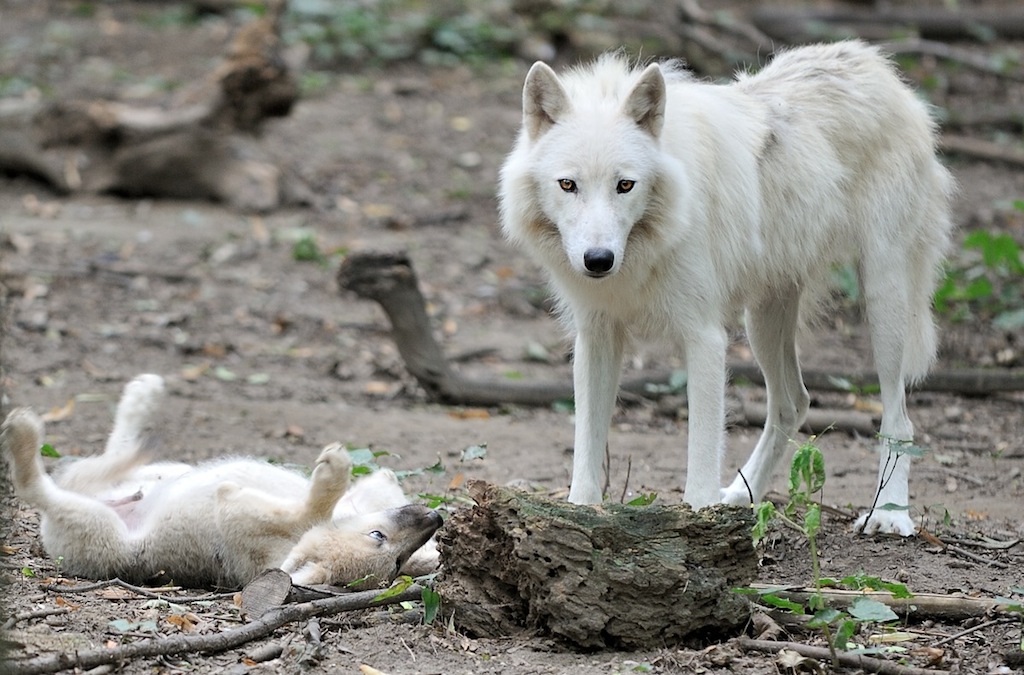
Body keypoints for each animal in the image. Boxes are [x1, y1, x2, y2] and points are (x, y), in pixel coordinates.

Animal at [1, 374, 442, 589]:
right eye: (378, 537)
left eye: (395, 565)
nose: (435, 518)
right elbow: (351, 493)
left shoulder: (238, 515)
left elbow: (306, 509)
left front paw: (333, 473)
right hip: (127, 480)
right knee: (107, 455)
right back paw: (142, 396)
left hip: (96, 526)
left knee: (34, 485)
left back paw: (23, 431)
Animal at [499, 41, 954, 536]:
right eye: (568, 184)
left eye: (625, 185)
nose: (598, 260)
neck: (648, 246)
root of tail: (878, 65)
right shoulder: (596, 336)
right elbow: (586, 446)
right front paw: (579, 514)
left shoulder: (704, 337)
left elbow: (701, 450)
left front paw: (698, 521)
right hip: (763, 322)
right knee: (794, 404)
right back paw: (739, 496)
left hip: (883, 303)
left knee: (899, 418)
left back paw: (889, 514)